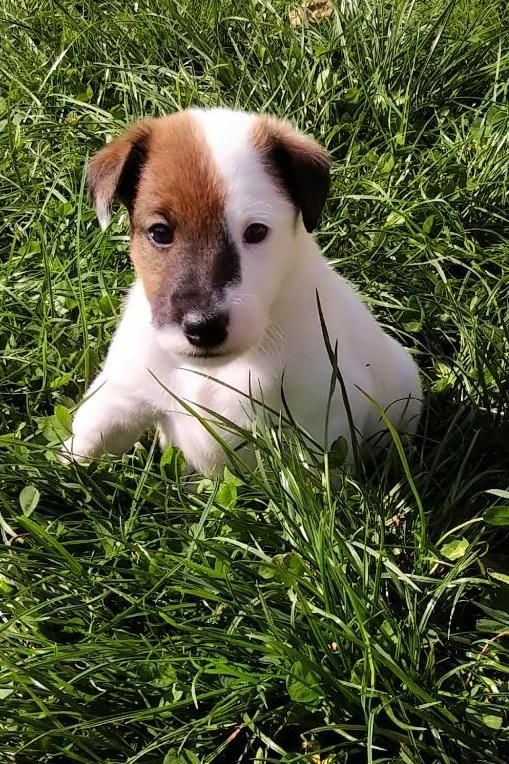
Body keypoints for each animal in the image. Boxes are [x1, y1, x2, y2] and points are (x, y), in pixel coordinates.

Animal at [62, 107, 420, 472]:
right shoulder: (123, 394)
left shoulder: (321, 422)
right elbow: (87, 438)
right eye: (159, 232)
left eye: (256, 231)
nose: (204, 327)